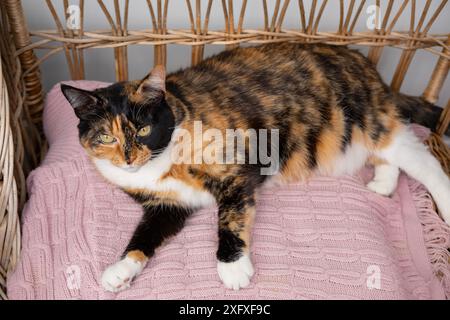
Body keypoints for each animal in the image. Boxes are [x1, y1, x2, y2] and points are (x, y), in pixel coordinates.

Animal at [61, 43, 450, 292]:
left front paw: (232, 267)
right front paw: (120, 270)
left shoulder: (237, 168)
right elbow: (144, 235)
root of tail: (364, 63)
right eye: (106, 136)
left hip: (364, 120)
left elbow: (230, 216)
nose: (129, 158)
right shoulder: (166, 206)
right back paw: (383, 183)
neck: (160, 162)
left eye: (142, 129)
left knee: (420, 158)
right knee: (389, 155)